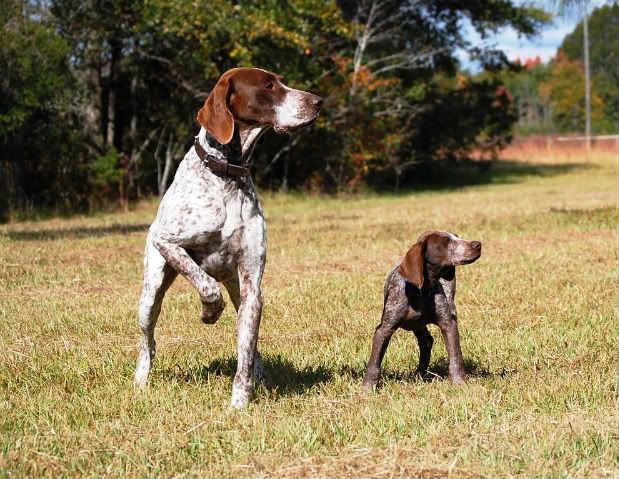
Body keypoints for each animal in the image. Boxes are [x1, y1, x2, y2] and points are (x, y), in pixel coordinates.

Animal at [134, 67, 322, 408]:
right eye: (269, 85)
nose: (318, 102)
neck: (228, 175)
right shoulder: (166, 241)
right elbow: (206, 285)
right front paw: (209, 312)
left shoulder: (252, 286)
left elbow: (246, 349)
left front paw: (240, 402)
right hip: (150, 292)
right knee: (148, 341)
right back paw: (140, 381)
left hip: (240, 291)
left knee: (249, 341)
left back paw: (261, 375)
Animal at [364, 231, 484, 392]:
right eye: (446, 241)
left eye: (457, 236)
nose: (478, 244)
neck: (422, 291)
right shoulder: (384, 329)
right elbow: (374, 363)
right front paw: (367, 388)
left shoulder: (448, 324)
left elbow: (455, 357)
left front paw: (459, 382)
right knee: (426, 341)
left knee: (427, 341)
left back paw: (420, 373)